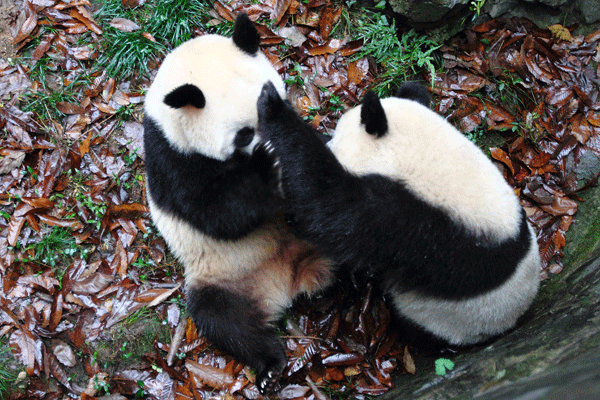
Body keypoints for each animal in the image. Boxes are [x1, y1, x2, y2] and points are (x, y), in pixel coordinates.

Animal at [144, 14, 332, 392]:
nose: (271, 148)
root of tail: (290, 281)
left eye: (275, 109)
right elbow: (216, 212)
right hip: (221, 275)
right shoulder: (170, 156)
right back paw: (270, 366)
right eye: (244, 133)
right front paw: (267, 171)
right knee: (225, 321)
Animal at [255, 80, 540, 346]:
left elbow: (328, 205)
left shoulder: (412, 222)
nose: (329, 140)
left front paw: (272, 106)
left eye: (336, 138)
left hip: (448, 318)